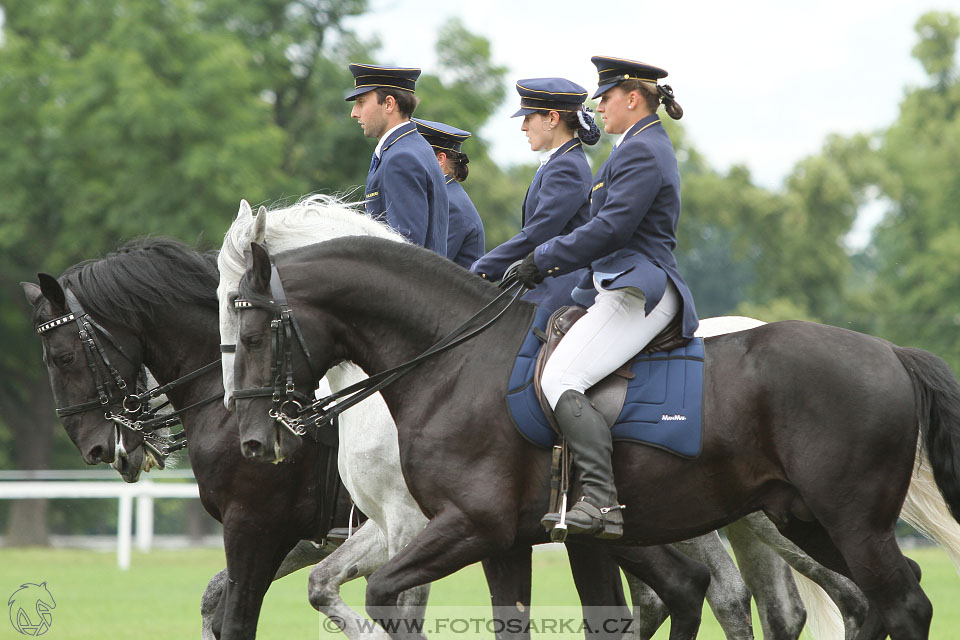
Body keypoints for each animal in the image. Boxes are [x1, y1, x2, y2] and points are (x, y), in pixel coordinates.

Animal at [234, 235, 960, 640]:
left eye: (253, 333)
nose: (252, 442)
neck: (455, 361)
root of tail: (889, 351)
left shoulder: (466, 525)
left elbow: (386, 596)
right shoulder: (506, 540)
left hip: (849, 522)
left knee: (902, 604)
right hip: (806, 519)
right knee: (878, 601)